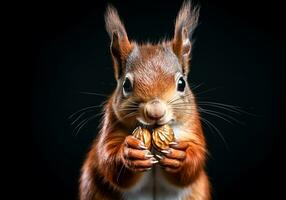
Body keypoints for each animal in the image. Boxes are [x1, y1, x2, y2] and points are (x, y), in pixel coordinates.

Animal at [79, 1, 211, 198]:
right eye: (126, 85)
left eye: (182, 83)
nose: (155, 112)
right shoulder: (112, 124)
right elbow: (108, 159)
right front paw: (129, 154)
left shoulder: (192, 126)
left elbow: (195, 162)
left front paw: (180, 157)